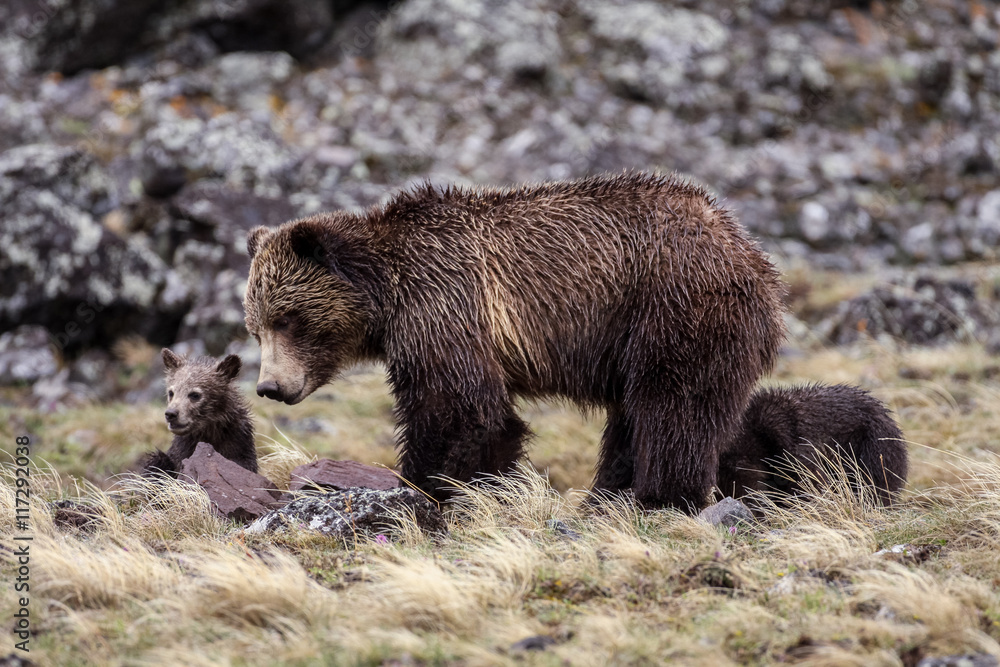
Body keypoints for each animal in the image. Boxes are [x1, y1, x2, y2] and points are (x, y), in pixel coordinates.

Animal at [139, 349, 257, 477]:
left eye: (195, 394)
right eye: (171, 392)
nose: (171, 414)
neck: (210, 432)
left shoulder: (238, 443)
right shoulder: (180, 452)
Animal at [242, 172, 786, 511]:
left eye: (288, 319)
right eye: (255, 327)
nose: (270, 387)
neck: (387, 294)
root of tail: (753, 256)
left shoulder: (444, 302)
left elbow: (456, 409)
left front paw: (423, 486)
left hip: (674, 306)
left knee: (675, 406)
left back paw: (662, 495)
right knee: (632, 417)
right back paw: (605, 498)